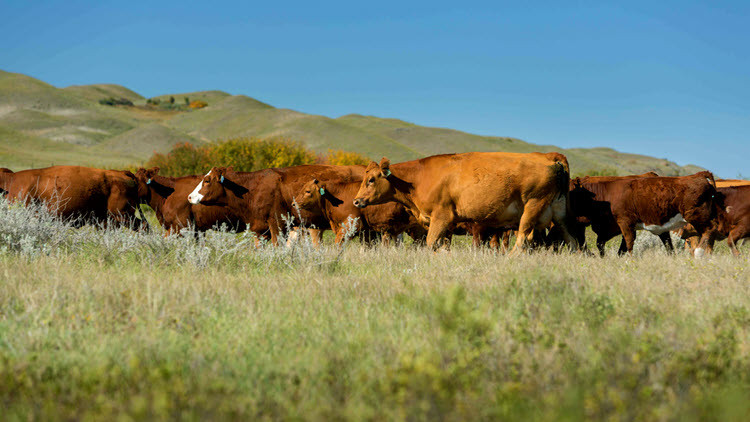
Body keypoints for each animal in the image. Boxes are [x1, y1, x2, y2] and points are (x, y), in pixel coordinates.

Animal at [351, 152, 579, 253]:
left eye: (371, 180)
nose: (356, 201)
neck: (418, 178)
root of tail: (549, 157)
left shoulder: (441, 216)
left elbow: (431, 242)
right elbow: (442, 243)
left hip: (532, 206)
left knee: (523, 237)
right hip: (557, 212)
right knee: (571, 238)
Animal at [570, 171, 718, 257]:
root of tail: (699, 175)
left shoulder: (624, 222)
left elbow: (628, 243)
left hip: (697, 216)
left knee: (709, 230)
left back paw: (700, 253)